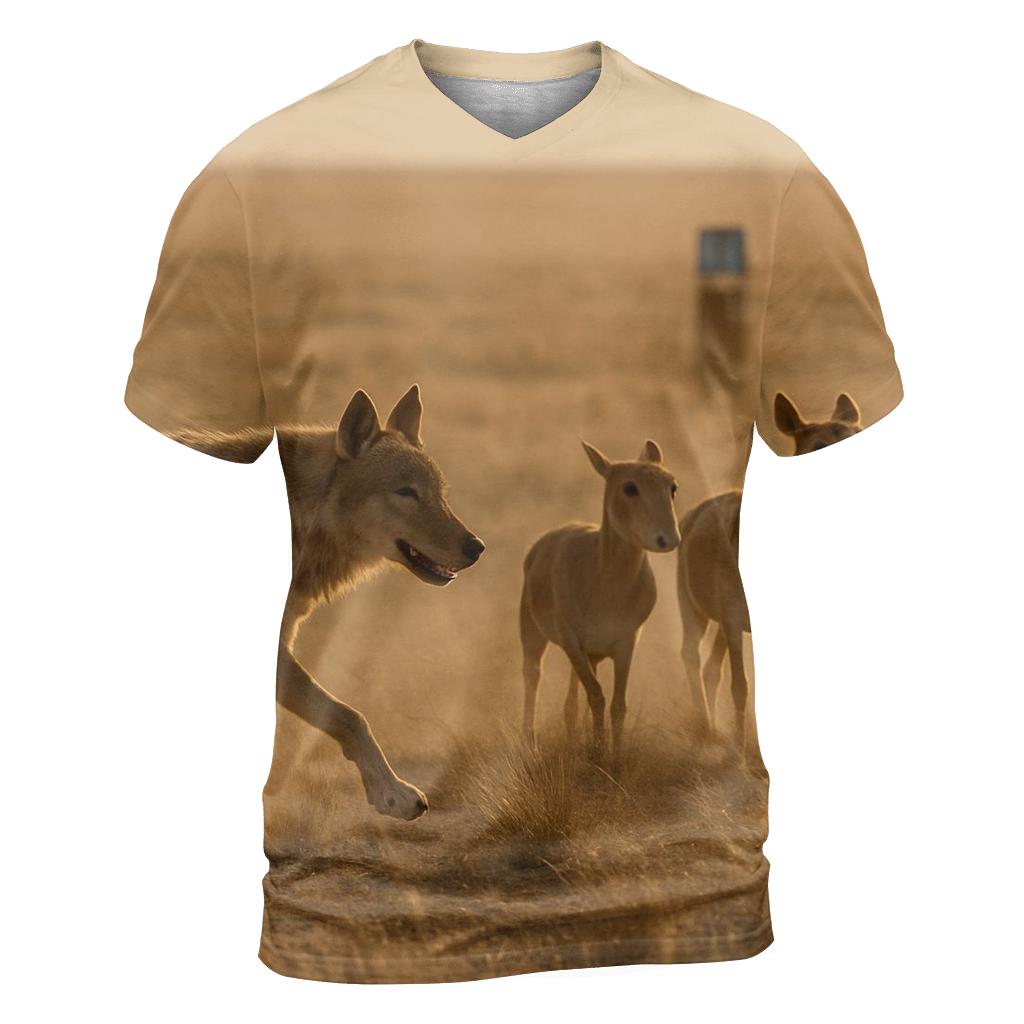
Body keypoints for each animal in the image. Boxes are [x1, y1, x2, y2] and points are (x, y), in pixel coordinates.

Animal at [273, 385, 484, 820]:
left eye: (440, 493)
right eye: (406, 492)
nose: (477, 547)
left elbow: (347, 714)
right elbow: (348, 715)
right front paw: (393, 792)